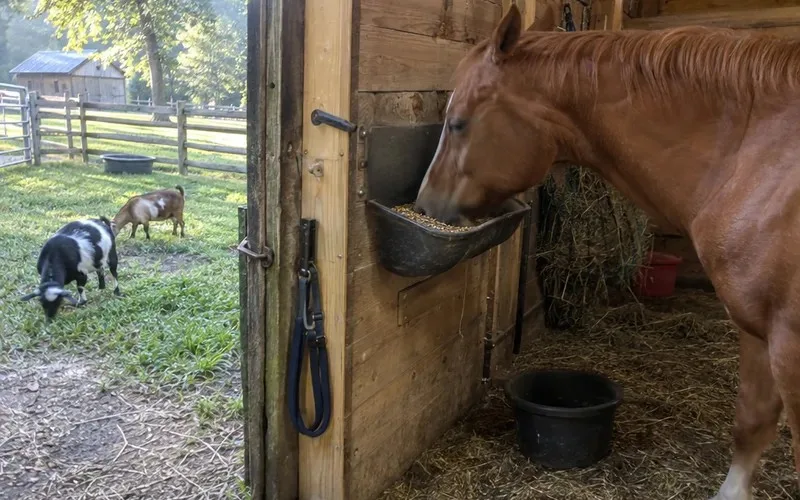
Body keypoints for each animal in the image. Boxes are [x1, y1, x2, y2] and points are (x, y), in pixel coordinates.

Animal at [414, 5, 800, 500]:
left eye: (458, 122)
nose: (425, 205)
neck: (752, 156)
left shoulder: (788, 345)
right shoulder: (756, 327)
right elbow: (751, 422)